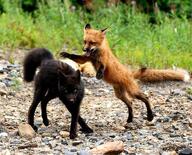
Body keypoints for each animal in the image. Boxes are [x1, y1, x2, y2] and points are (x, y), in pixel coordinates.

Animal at [60, 23, 190, 124]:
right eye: (85, 41)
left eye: (92, 42)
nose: (84, 49)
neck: (96, 54)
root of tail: (130, 74)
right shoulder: (86, 58)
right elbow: (75, 57)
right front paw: (66, 54)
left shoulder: (104, 61)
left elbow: (103, 67)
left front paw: (99, 74)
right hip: (120, 95)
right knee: (130, 103)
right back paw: (130, 119)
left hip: (132, 92)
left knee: (145, 97)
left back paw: (150, 116)